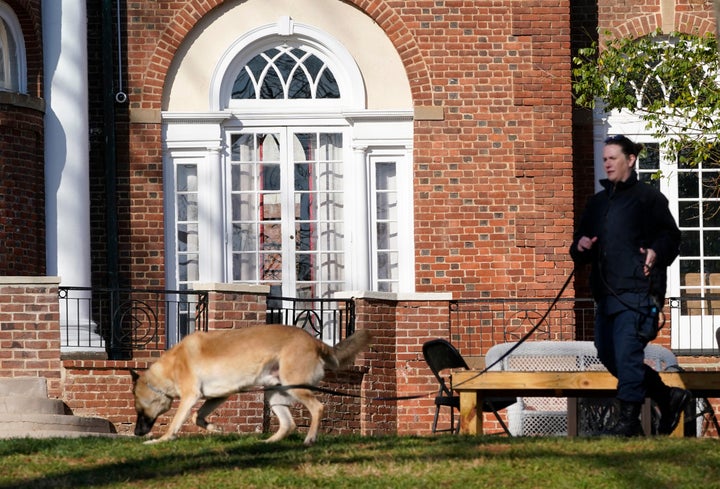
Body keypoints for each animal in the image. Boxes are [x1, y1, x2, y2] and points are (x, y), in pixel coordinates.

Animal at [130, 324, 374, 446]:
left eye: (139, 410)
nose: (136, 433)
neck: (168, 369)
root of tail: (315, 341)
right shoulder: (219, 396)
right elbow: (196, 417)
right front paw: (215, 429)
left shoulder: (190, 396)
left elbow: (176, 422)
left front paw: (161, 440)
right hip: (274, 394)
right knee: (288, 424)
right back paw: (268, 442)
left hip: (294, 385)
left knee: (318, 408)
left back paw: (309, 439)